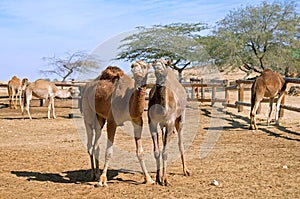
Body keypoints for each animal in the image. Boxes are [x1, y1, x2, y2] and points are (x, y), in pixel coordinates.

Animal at [148, 58, 190, 186]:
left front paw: (165, 180)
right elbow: (157, 151)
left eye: (165, 64)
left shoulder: (170, 122)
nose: (157, 65)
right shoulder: (152, 122)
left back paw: (186, 171)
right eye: (154, 65)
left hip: (180, 118)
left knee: (180, 143)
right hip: (163, 125)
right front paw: (158, 178)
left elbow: (165, 152)